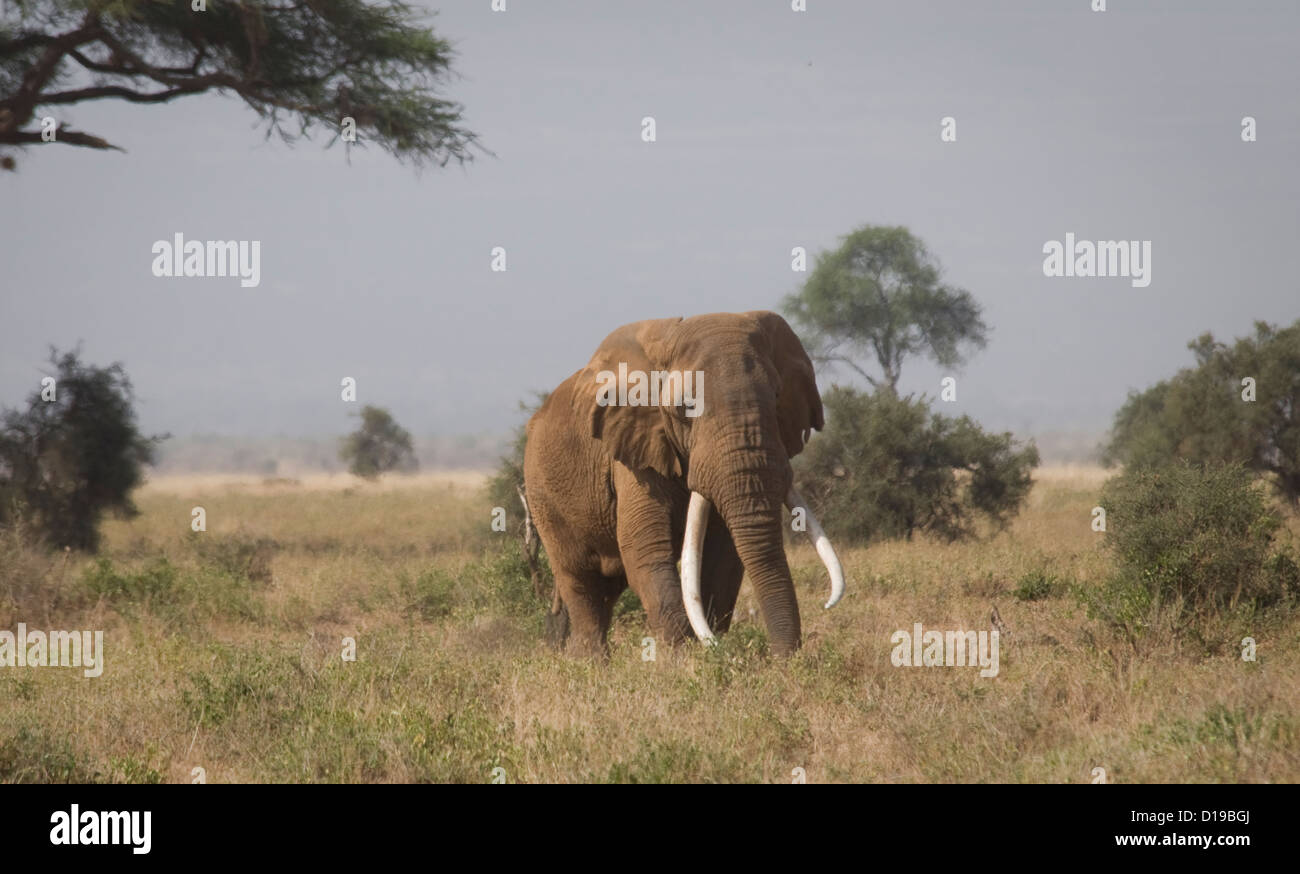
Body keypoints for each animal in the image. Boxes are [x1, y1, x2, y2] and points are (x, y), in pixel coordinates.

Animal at [522, 310, 847, 658]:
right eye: (686, 407)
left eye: (776, 398)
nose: (782, 659)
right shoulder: (635, 454)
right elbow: (644, 548)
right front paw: (687, 659)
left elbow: (724, 558)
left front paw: (713, 649)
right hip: (542, 494)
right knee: (581, 582)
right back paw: (590, 662)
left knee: (607, 587)